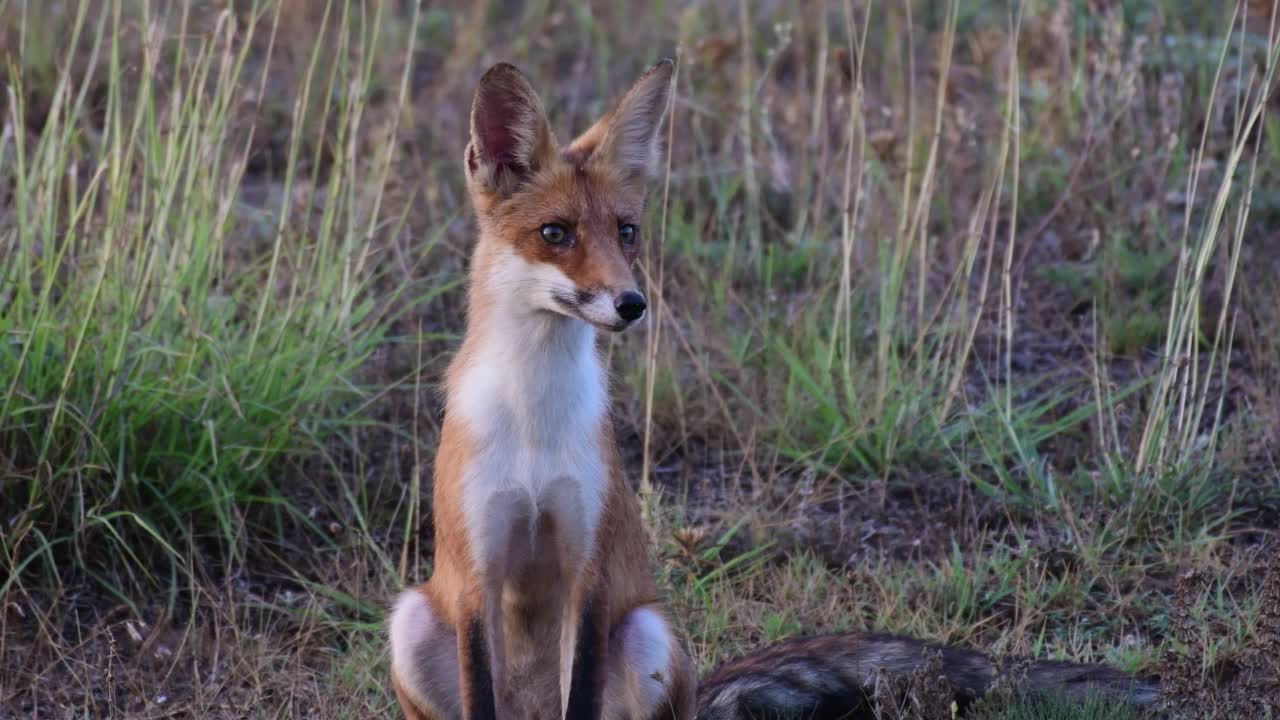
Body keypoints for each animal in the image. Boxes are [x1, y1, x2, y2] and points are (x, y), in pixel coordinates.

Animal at [389, 60, 1162, 717]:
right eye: (555, 233)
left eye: (627, 232)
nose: (632, 304)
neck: (533, 418)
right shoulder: (477, 579)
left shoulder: (590, 574)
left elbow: (578, 693)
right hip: (411, 620)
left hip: (645, 630)